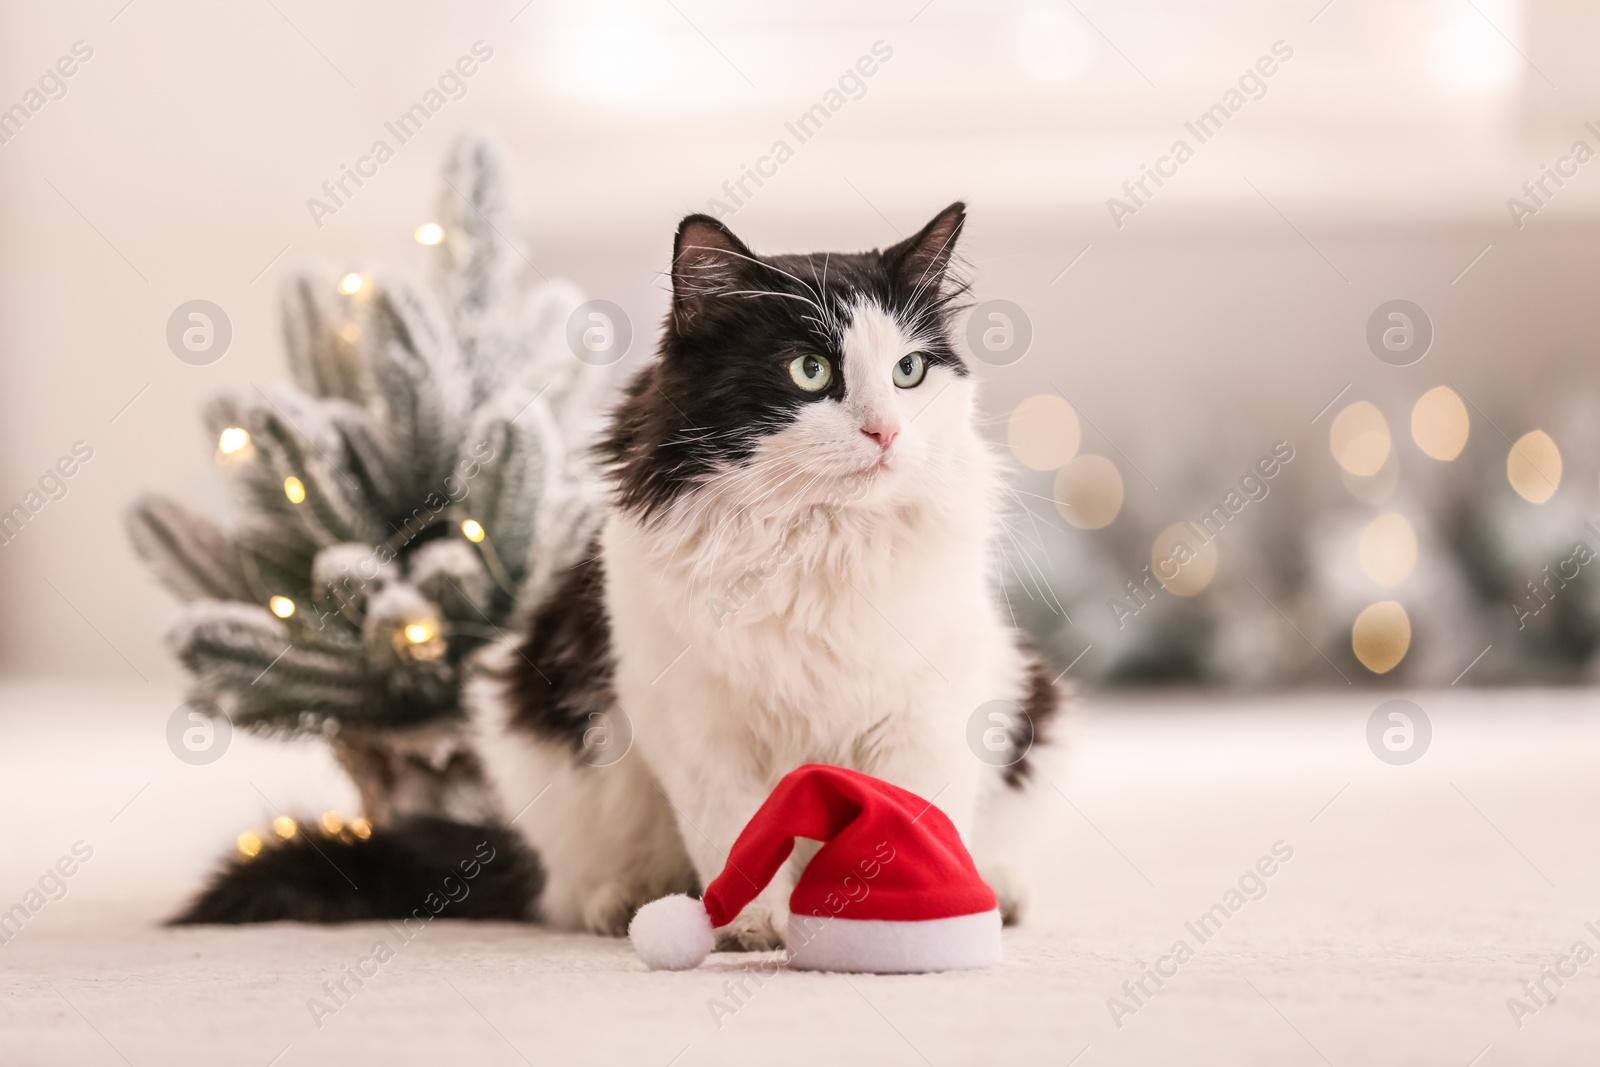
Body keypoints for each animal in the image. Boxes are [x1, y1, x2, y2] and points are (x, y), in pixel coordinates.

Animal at [480, 202, 1056, 953]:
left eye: (908, 370)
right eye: (810, 370)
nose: (887, 432)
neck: (819, 541)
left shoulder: (927, 707)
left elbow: (916, 815)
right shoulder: (693, 721)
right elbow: (736, 831)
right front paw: (754, 925)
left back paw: (1002, 890)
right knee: (572, 888)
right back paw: (623, 902)